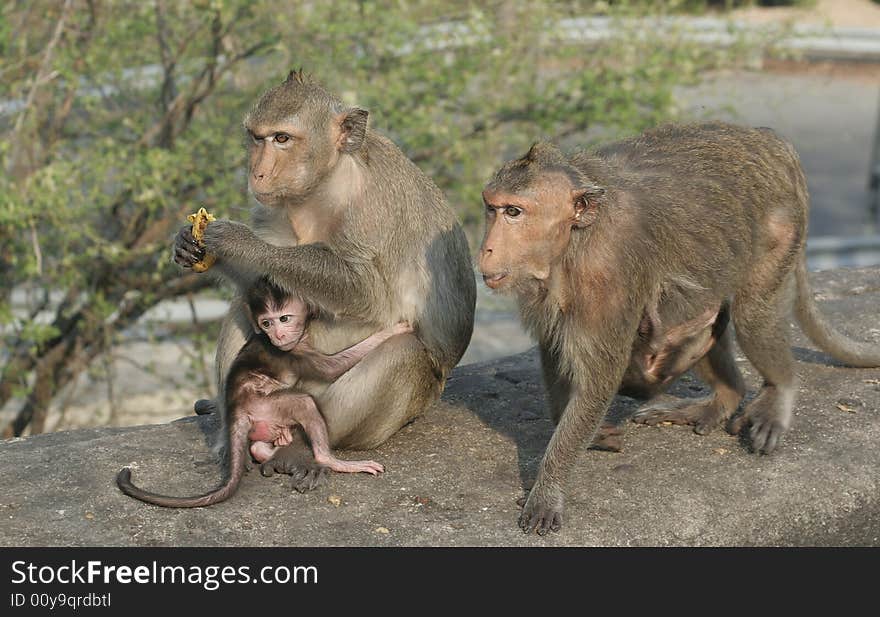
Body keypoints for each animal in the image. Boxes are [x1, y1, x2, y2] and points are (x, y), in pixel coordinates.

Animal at [117, 276, 412, 508]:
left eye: (284, 318)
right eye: (267, 323)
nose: (279, 335)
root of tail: (235, 408)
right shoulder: (293, 354)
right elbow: (332, 368)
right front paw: (393, 331)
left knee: (262, 440)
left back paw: (272, 450)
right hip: (263, 405)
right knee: (304, 403)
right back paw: (328, 459)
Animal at [171, 70, 474, 488]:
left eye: (282, 138)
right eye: (257, 137)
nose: (257, 172)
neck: (325, 184)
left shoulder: (370, 207)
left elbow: (368, 291)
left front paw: (239, 240)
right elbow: (265, 284)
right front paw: (188, 244)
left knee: (403, 353)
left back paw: (305, 450)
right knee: (242, 305)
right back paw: (231, 437)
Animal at [482, 122, 880, 532]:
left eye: (513, 212)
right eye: (491, 208)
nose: (487, 249)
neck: (575, 239)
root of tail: (774, 143)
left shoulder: (608, 275)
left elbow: (598, 382)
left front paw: (548, 487)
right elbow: (554, 349)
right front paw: (583, 434)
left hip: (780, 226)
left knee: (752, 318)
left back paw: (779, 392)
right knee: (703, 315)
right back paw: (725, 396)